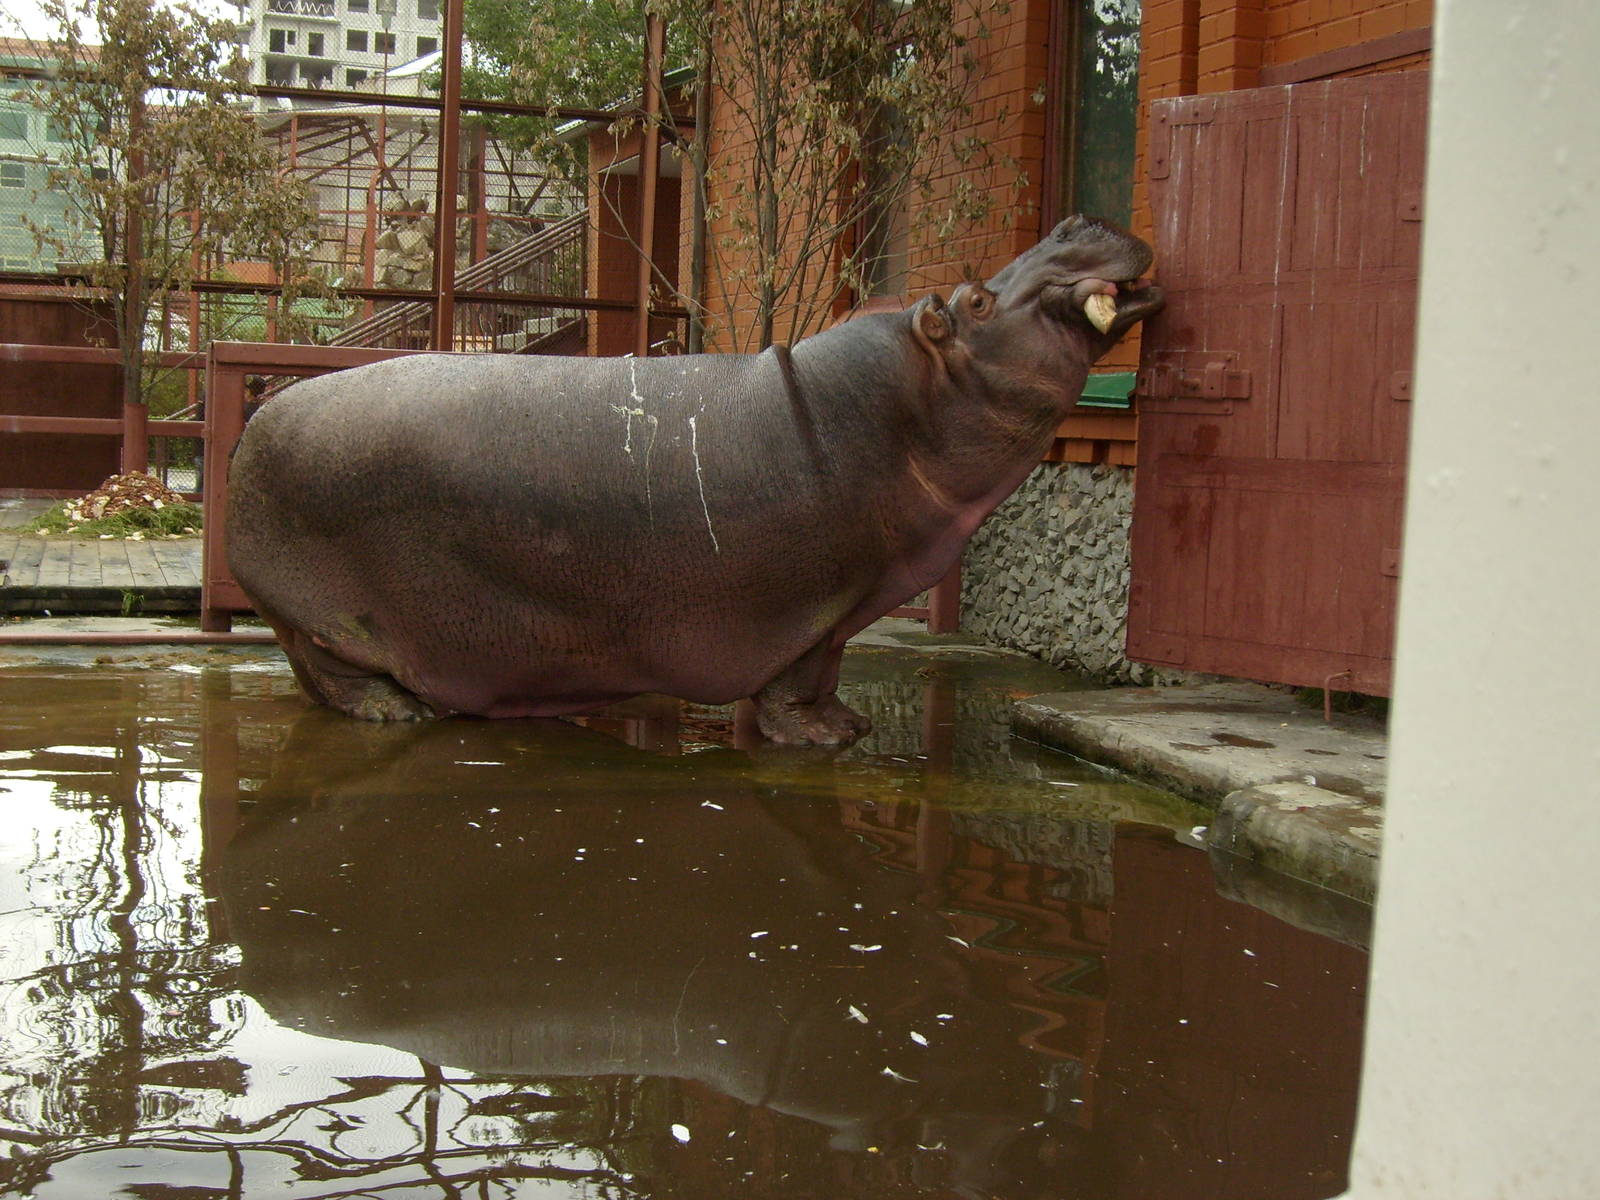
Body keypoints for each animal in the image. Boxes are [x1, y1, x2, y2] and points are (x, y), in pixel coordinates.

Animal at [226, 215, 1163, 744]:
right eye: (974, 301)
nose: (1077, 219)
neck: (900, 404)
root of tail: (261, 416)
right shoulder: (812, 599)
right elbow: (800, 676)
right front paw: (823, 740)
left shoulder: (840, 604)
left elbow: (829, 666)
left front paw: (850, 725)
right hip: (314, 608)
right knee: (330, 672)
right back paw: (398, 715)